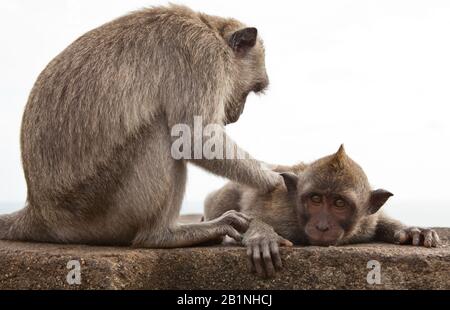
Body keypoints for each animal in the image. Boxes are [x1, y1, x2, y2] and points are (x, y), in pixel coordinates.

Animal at [0, 4, 284, 247]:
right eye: (252, 90)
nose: (237, 115)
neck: (210, 30)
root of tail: (40, 212)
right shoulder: (202, 58)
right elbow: (195, 139)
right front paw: (273, 179)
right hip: (97, 209)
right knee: (162, 133)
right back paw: (162, 236)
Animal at [204, 145, 440, 278]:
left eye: (339, 203)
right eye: (316, 199)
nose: (322, 226)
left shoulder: (366, 222)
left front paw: (411, 230)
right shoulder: (282, 214)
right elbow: (247, 216)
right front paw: (262, 235)